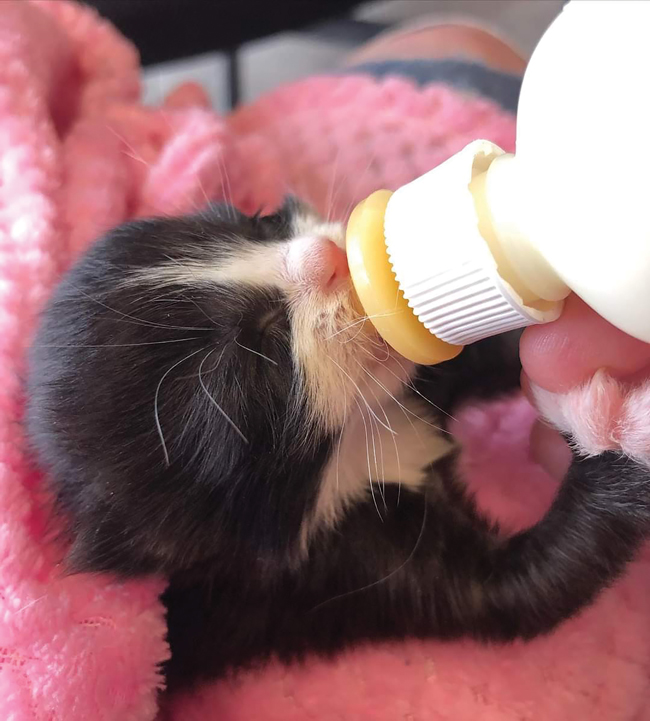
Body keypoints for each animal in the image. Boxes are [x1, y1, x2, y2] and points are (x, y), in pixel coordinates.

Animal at [22, 195, 648, 688]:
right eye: (260, 358)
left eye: (262, 222)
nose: (327, 256)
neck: (361, 442)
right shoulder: (338, 571)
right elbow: (529, 585)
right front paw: (620, 430)